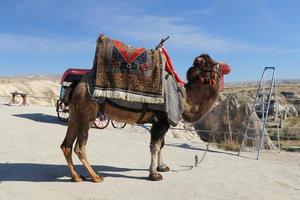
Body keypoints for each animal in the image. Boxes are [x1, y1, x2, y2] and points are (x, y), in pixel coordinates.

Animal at [60, 53, 225, 183]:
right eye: (214, 64)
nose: (223, 66)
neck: (184, 99)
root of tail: (76, 85)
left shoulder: (160, 122)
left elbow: (161, 145)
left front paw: (162, 167)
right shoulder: (161, 121)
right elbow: (155, 146)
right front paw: (154, 174)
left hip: (75, 114)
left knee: (66, 145)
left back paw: (76, 176)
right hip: (87, 113)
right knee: (79, 147)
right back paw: (95, 177)